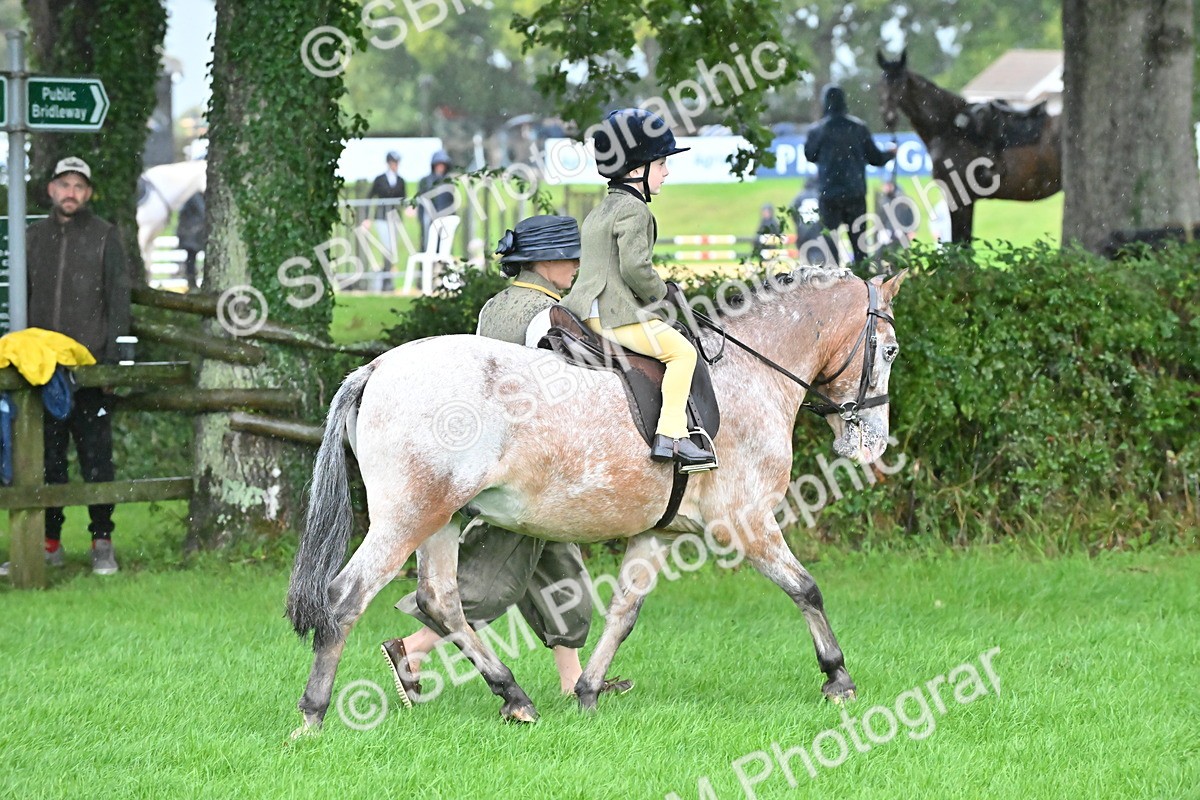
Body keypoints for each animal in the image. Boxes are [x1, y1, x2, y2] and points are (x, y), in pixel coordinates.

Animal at [285, 266, 908, 734]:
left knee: (441, 601)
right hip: (408, 518)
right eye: (891, 349)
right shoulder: (747, 522)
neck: (748, 375)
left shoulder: (659, 534)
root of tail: (376, 367)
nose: (872, 442)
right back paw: (313, 716)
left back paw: (513, 696)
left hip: (441, 519)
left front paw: (587, 691)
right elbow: (806, 589)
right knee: (346, 598)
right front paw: (837, 678)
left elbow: (623, 612)